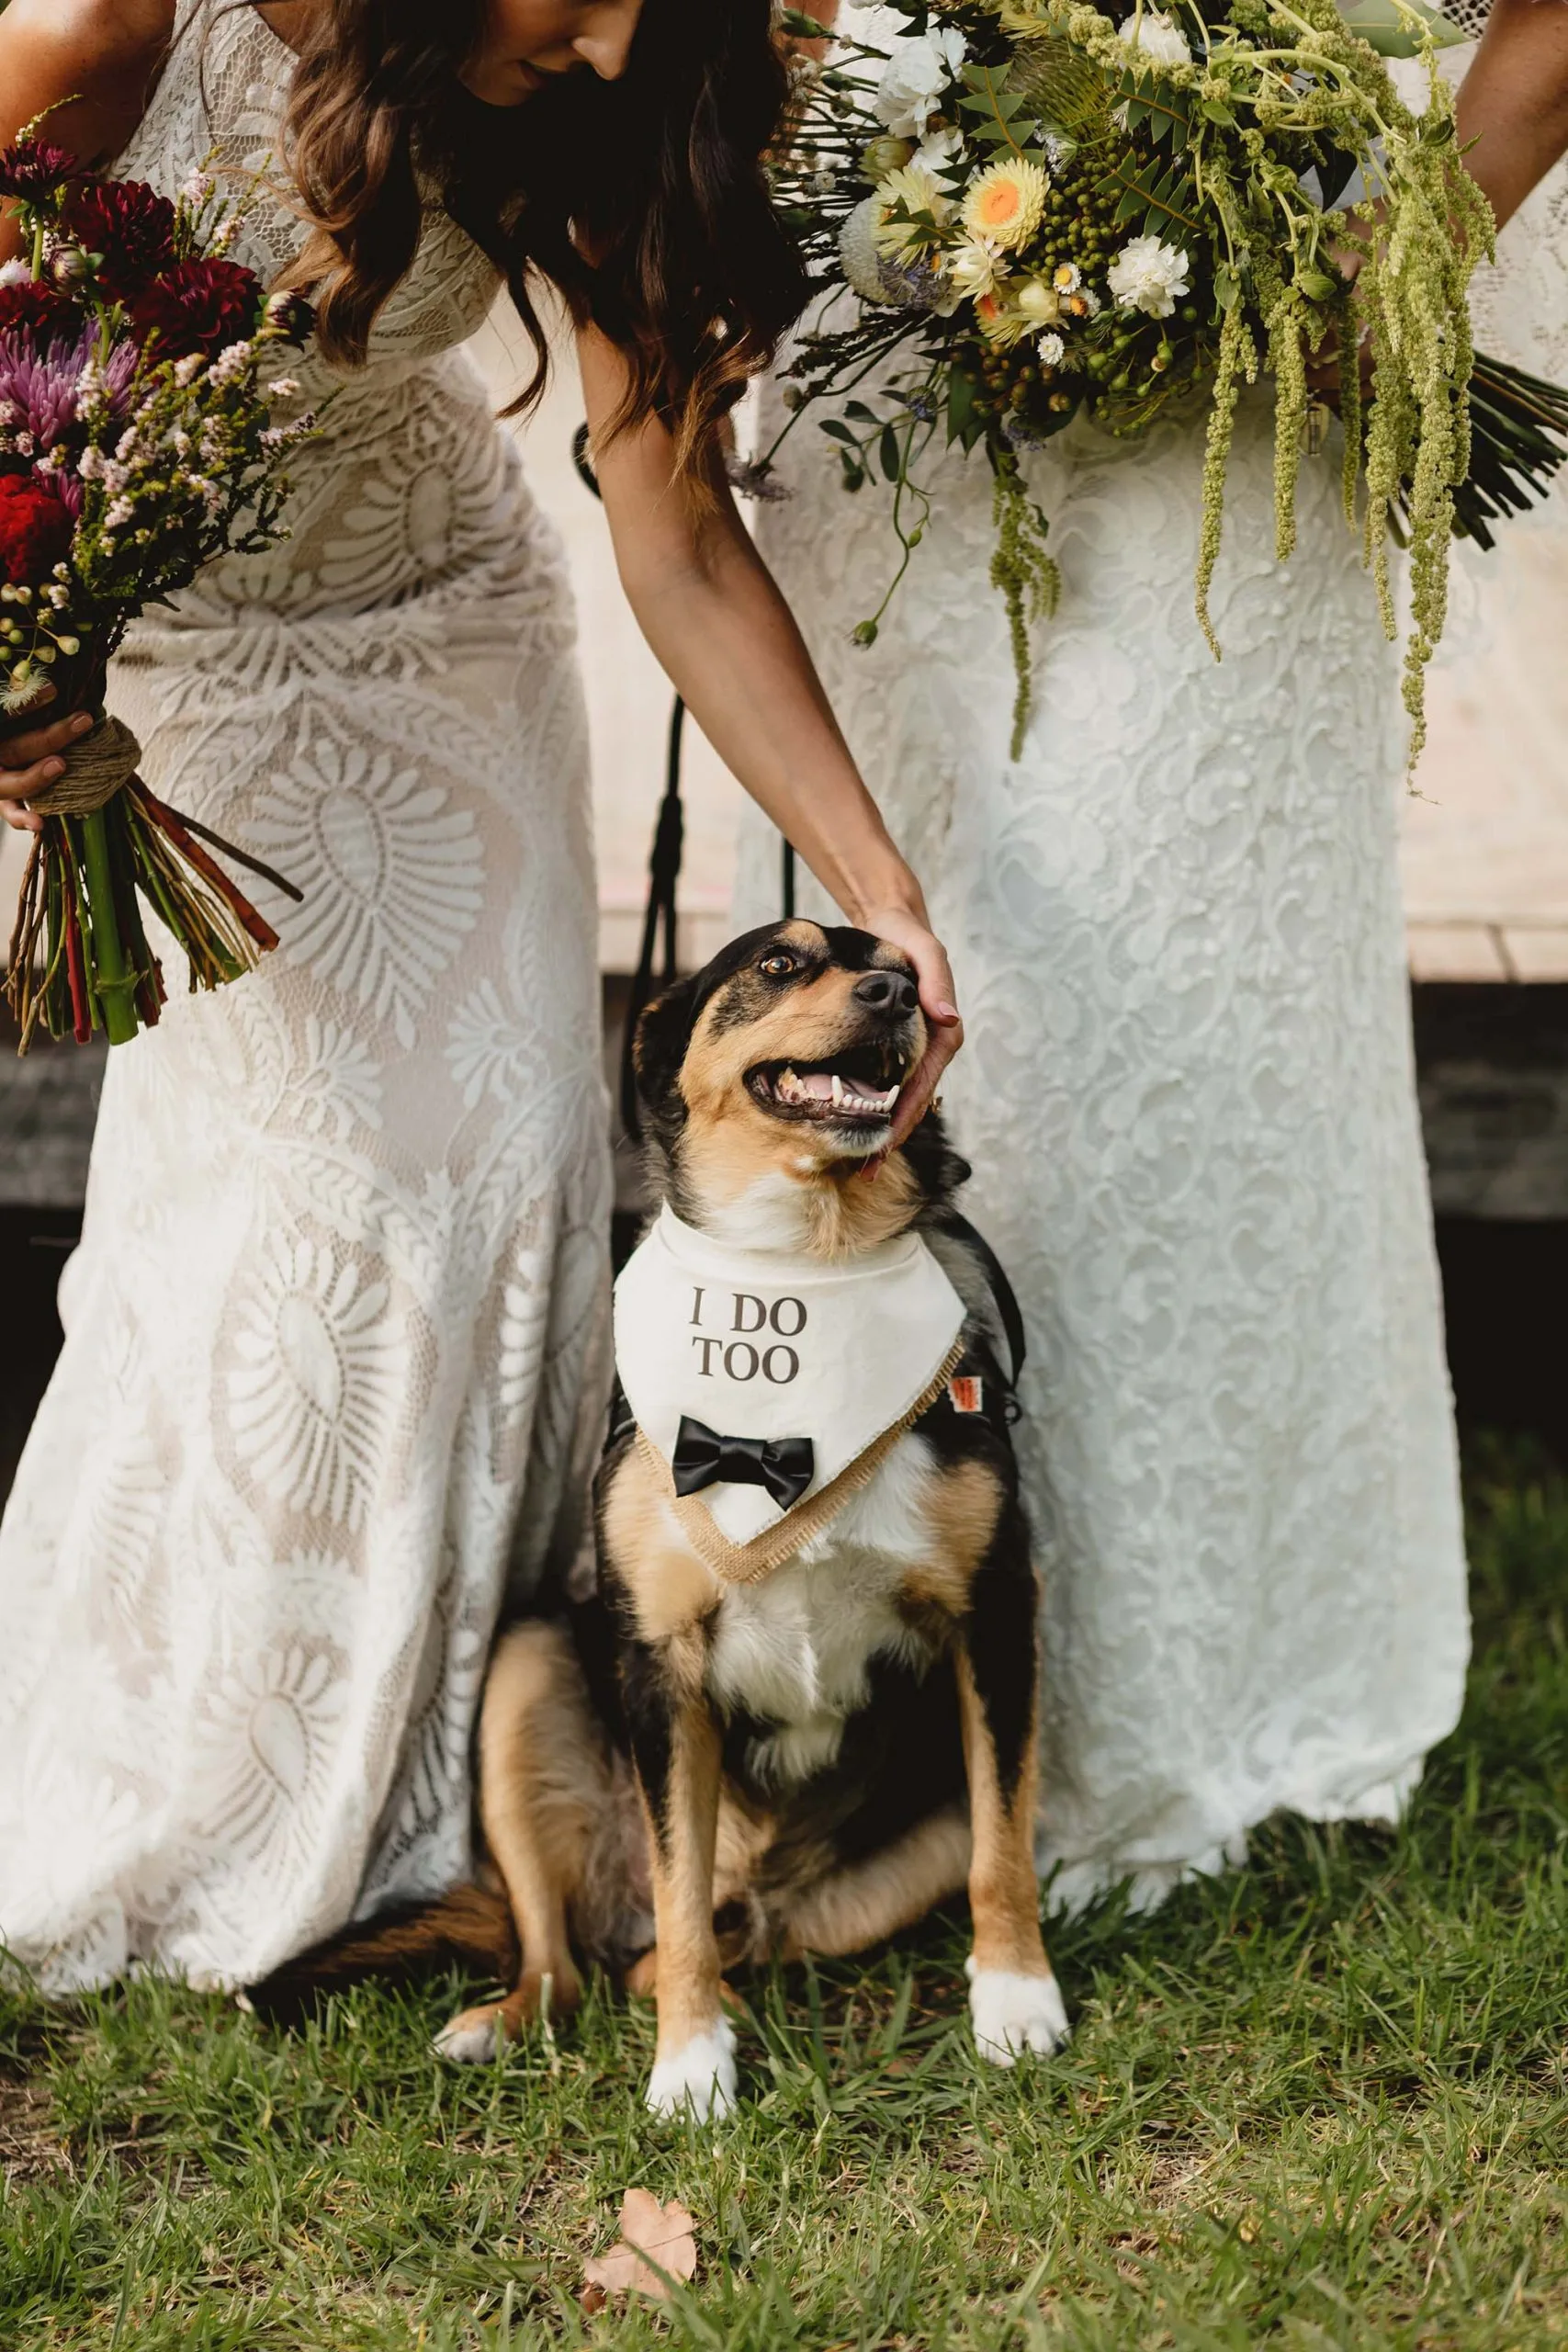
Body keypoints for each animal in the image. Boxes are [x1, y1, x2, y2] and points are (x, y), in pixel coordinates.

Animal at [261, 926, 1066, 2126]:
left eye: (904, 974)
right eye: (781, 966)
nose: (893, 992)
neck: (805, 1263)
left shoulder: (997, 1612)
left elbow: (1003, 1847)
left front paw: (1016, 2000)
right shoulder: (662, 1661)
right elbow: (679, 1891)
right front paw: (692, 2071)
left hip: (880, 1869)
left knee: (695, 1943)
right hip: (527, 1666)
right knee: (576, 1952)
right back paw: (504, 2020)